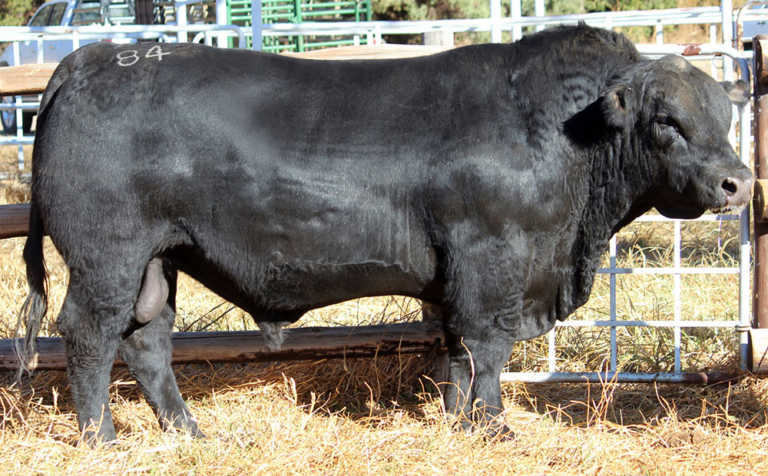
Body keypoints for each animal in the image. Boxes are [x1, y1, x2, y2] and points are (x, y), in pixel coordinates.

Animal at [15, 25, 752, 442]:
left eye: (724, 115)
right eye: (667, 122)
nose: (738, 183)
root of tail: (96, 58)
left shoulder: (460, 274)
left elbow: (456, 351)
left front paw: (458, 423)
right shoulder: (492, 259)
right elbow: (487, 347)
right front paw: (495, 429)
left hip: (157, 259)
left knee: (146, 341)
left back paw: (190, 433)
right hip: (108, 255)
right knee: (89, 334)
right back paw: (102, 438)